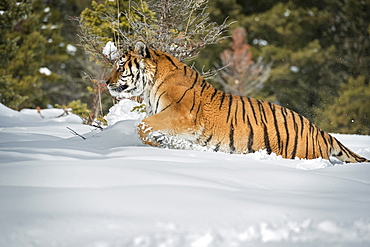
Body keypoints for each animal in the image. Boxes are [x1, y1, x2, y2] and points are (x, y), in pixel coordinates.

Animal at [105, 41, 368, 163]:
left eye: (120, 66)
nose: (106, 82)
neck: (151, 85)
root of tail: (320, 131)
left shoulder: (181, 116)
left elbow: (142, 126)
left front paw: (162, 145)